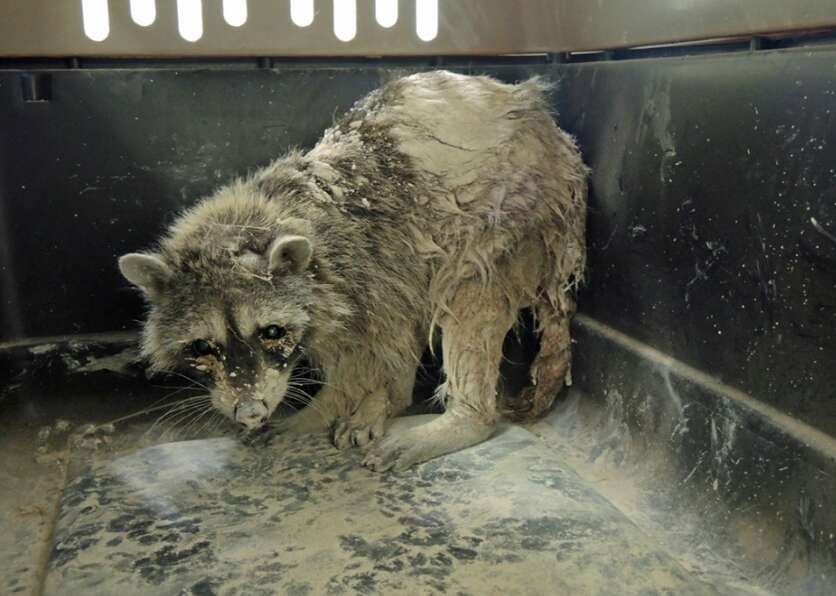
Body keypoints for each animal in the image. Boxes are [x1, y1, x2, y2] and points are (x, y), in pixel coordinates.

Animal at [117, 71, 588, 470]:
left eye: (271, 332)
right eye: (201, 346)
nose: (250, 412)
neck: (255, 218)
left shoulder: (365, 259)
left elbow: (369, 345)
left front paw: (337, 400)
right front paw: (349, 401)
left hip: (508, 210)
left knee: (467, 298)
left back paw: (464, 415)